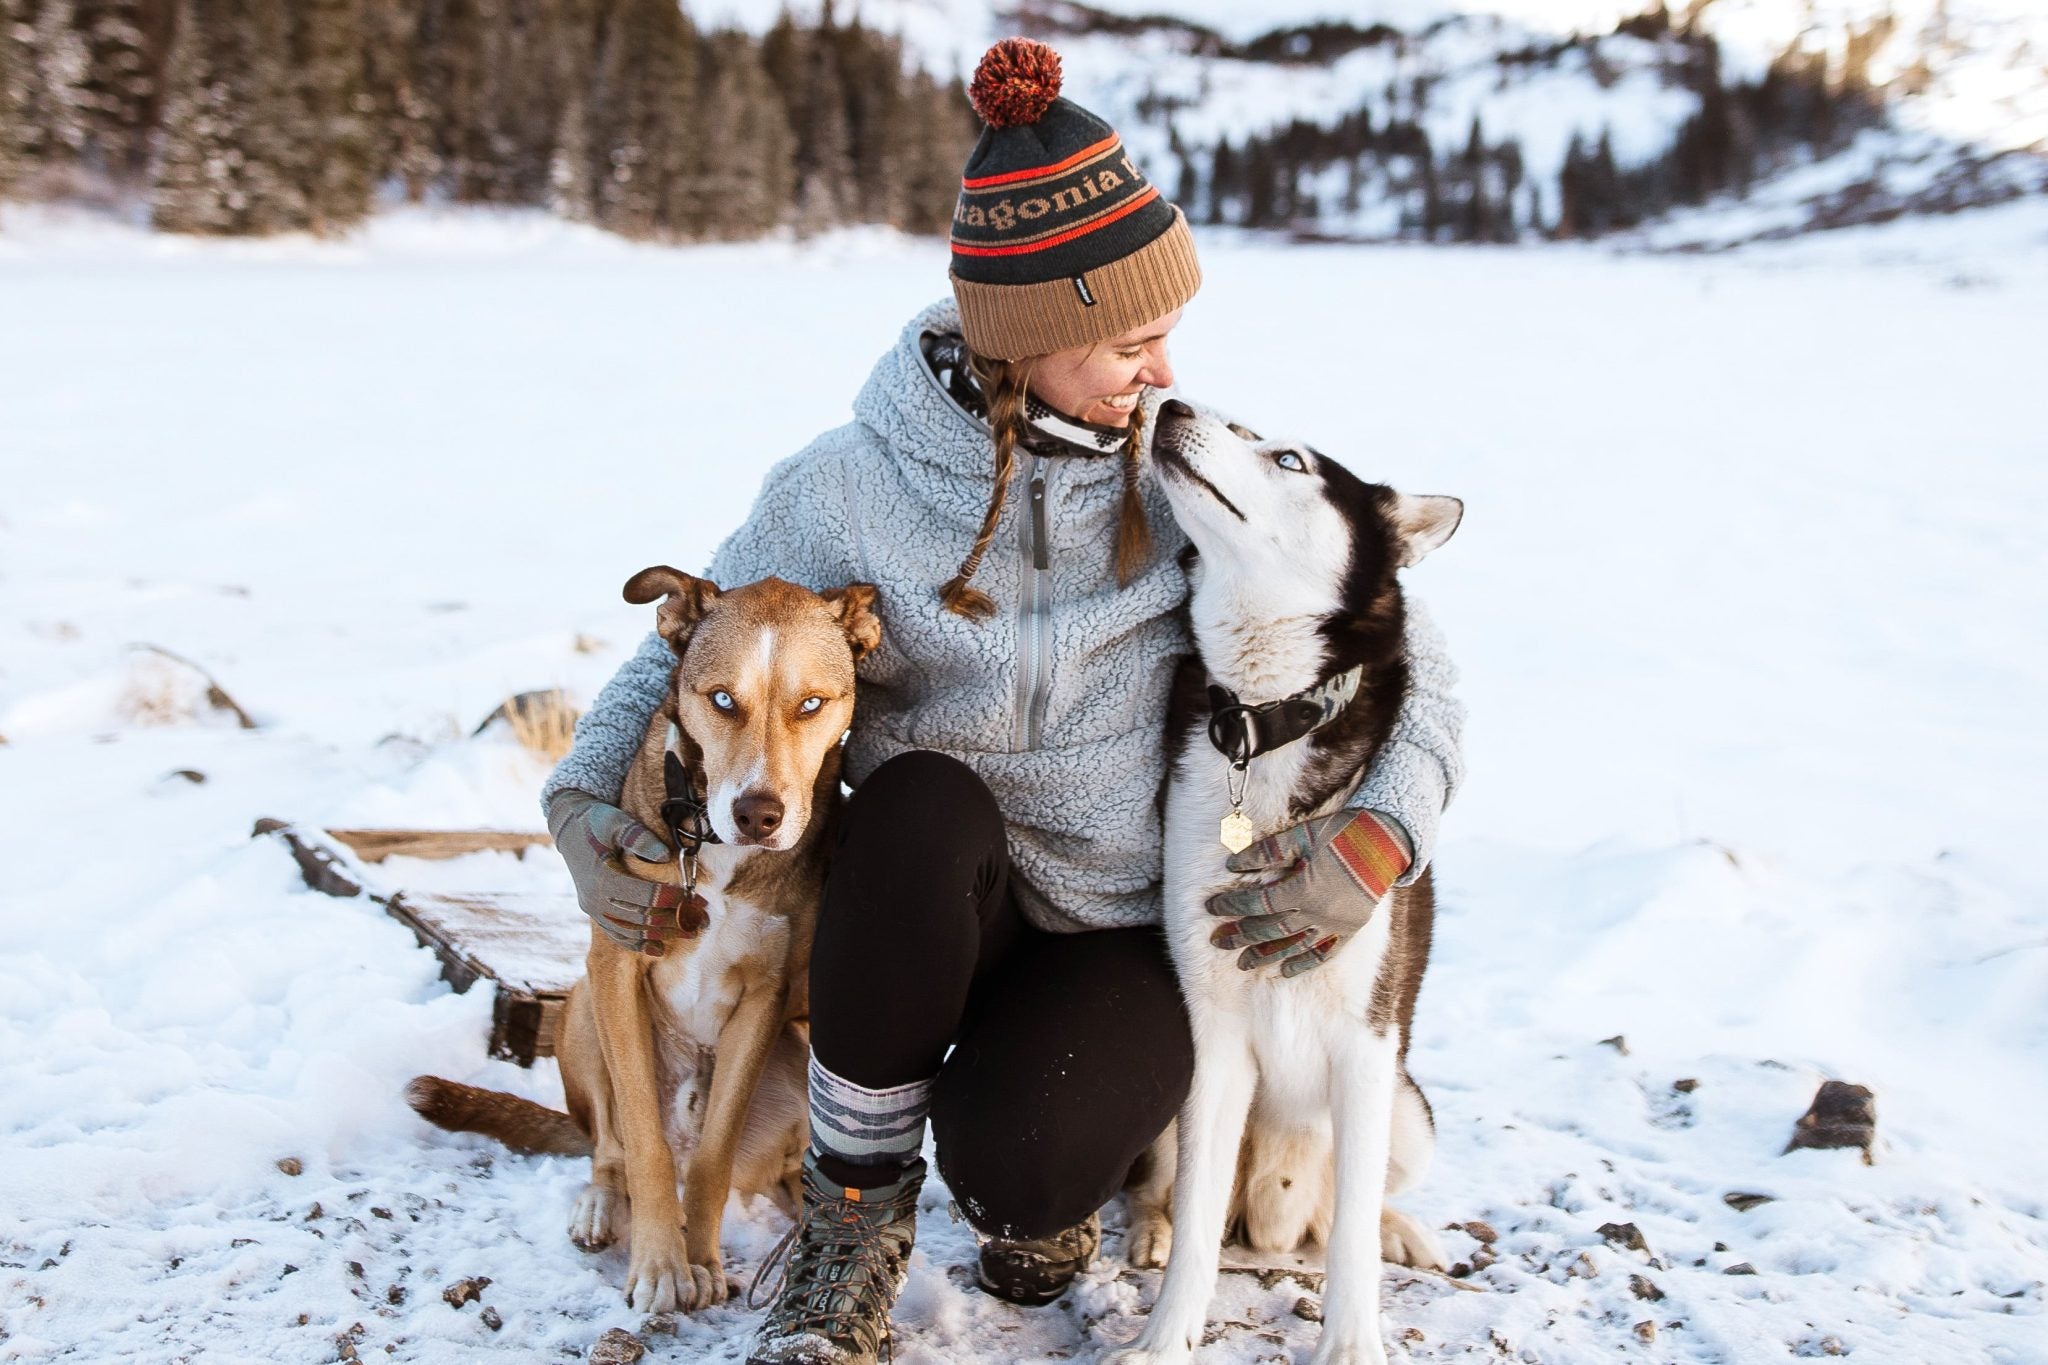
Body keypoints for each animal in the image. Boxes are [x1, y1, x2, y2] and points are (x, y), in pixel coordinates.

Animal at [403, 564, 876, 1309]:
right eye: (722, 699)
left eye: (811, 704)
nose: (759, 814)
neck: (711, 846)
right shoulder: (618, 966)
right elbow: (643, 1144)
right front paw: (659, 1265)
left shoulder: (765, 999)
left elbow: (712, 1157)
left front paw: (700, 1258)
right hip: (579, 1009)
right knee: (609, 1148)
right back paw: (601, 1207)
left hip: (800, 1053)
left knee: (758, 1168)